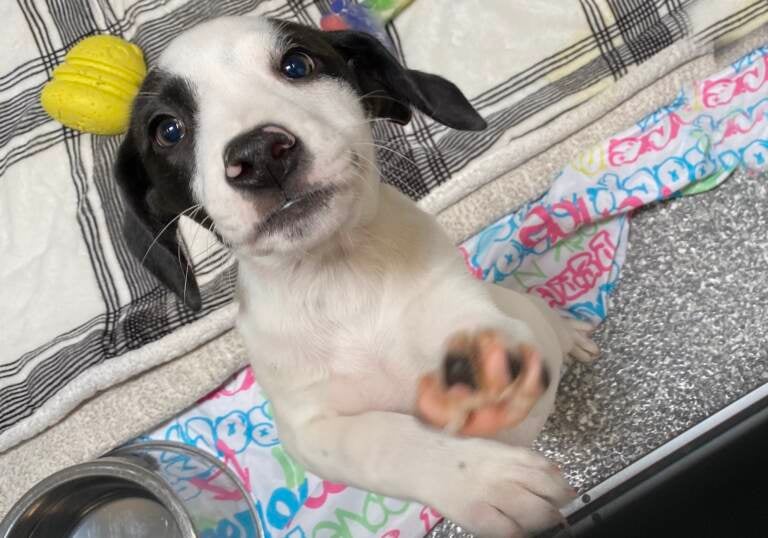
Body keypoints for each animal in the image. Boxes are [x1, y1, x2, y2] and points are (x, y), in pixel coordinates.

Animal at [115, 16, 600, 536]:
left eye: (297, 64)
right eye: (168, 130)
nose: (261, 154)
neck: (338, 279)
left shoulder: (467, 318)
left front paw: (484, 378)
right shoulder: (309, 429)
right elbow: (376, 438)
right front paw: (481, 480)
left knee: (530, 307)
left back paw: (566, 331)